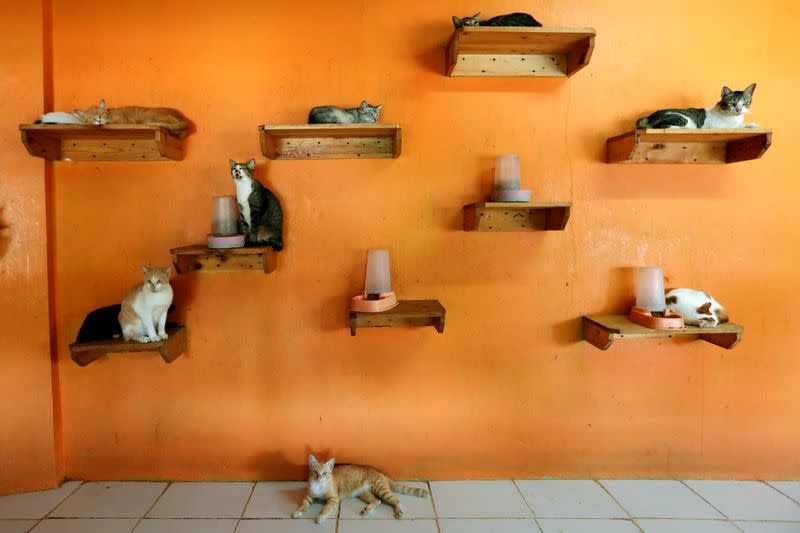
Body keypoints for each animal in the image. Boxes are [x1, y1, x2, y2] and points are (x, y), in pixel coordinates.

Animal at [636, 85, 764, 131]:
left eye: (745, 103)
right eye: (732, 103)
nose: (739, 110)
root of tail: (648, 117)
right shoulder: (719, 126)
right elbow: (738, 126)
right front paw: (752, 125)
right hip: (681, 118)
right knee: (659, 126)